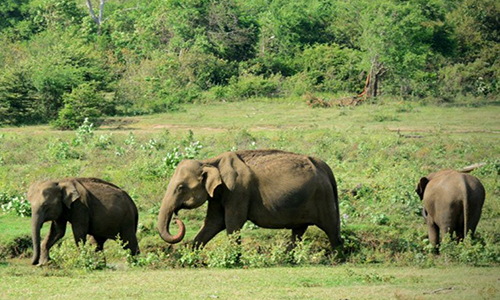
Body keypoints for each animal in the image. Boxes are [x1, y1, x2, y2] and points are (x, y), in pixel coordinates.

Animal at [158, 149, 342, 251]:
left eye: (180, 187)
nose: (176, 220)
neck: (209, 161)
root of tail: (325, 167)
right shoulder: (218, 193)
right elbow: (213, 222)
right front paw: (191, 258)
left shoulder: (237, 190)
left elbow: (232, 223)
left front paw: (234, 260)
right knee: (298, 231)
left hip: (323, 197)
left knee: (331, 228)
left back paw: (337, 258)